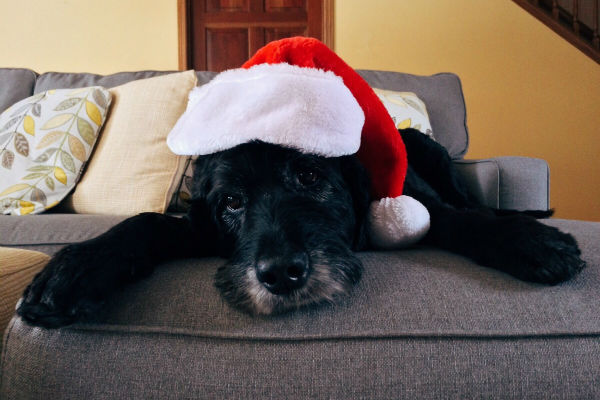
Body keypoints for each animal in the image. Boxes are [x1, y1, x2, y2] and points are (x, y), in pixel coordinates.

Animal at [16, 130, 584, 326]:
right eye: (232, 202)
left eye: (310, 175)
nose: (281, 274)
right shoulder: (198, 226)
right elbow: (148, 224)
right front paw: (74, 270)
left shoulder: (424, 207)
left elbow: (464, 220)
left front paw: (531, 242)